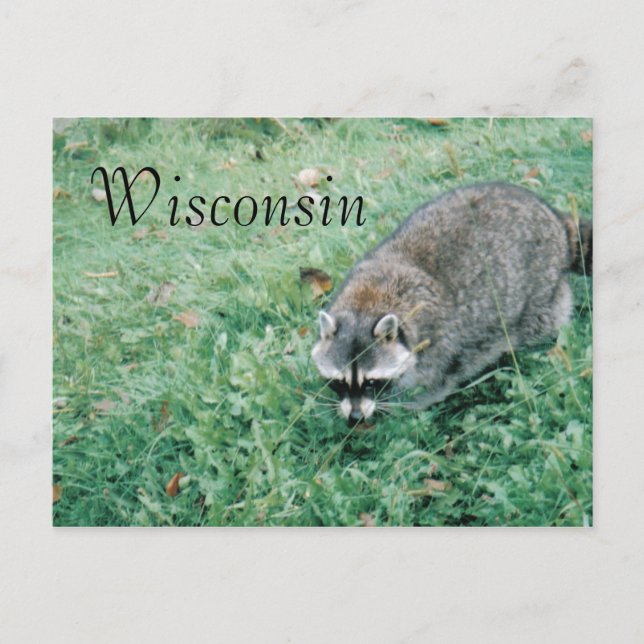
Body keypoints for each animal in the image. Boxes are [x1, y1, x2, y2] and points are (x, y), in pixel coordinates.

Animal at [311, 182, 592, 426]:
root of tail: (553, 218)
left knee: (542, 321)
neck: (367, 304)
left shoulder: (437, 347)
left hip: (542, 284)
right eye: (339, 382)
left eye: (371, 382)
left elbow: (430, 387)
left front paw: (397, 410)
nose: (355, 418)